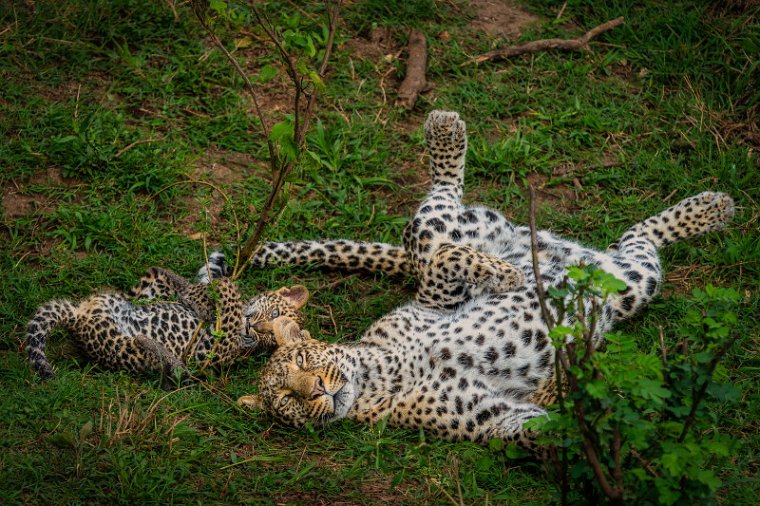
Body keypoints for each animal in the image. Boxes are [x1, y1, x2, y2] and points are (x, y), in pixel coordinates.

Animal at [26, 258, 308, 382]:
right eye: (274, 315)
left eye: (268, 337)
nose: (254, 329)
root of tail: (78, 318)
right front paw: (209, 286)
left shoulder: (209, 353)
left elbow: (229, 299)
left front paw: (219, 289)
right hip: (135, 295)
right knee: (153, 279)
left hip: (124, 347)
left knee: (175, 369)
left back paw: (152, 346)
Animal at [236, 111, 732, 450]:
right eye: (287, 399)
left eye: (303, 361)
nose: (317, 391)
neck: (376, 379)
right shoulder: (490, 416)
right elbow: (533, 427)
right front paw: (578, 395)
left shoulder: (431, 304)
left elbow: (447, 264)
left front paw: (504, 277)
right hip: (630, 283)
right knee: (636, 240)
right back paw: (709, 209)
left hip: (445, 227)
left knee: (440, 212)